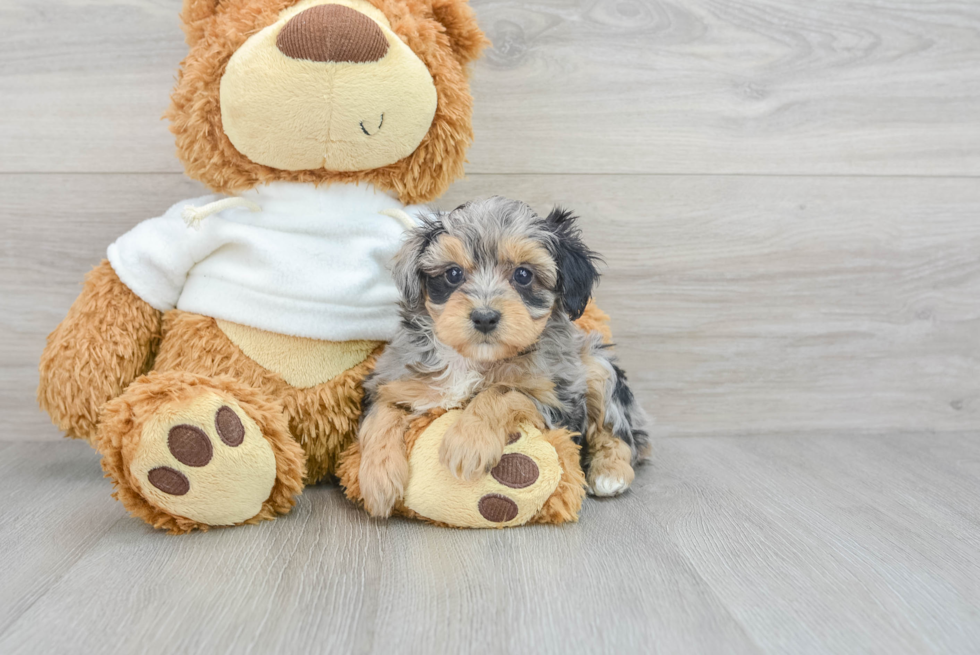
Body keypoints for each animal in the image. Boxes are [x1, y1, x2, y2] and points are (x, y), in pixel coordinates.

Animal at [356, 195, 648, 516]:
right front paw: (377, 477)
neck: (474, 360)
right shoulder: (394, 380)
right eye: (453, 274)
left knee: (619, 430)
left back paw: (610, 473)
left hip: (597, 363)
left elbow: (502, 391)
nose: (484, 318)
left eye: (523, 274)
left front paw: (469, 442)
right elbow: (381, 416)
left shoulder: (560, 402)